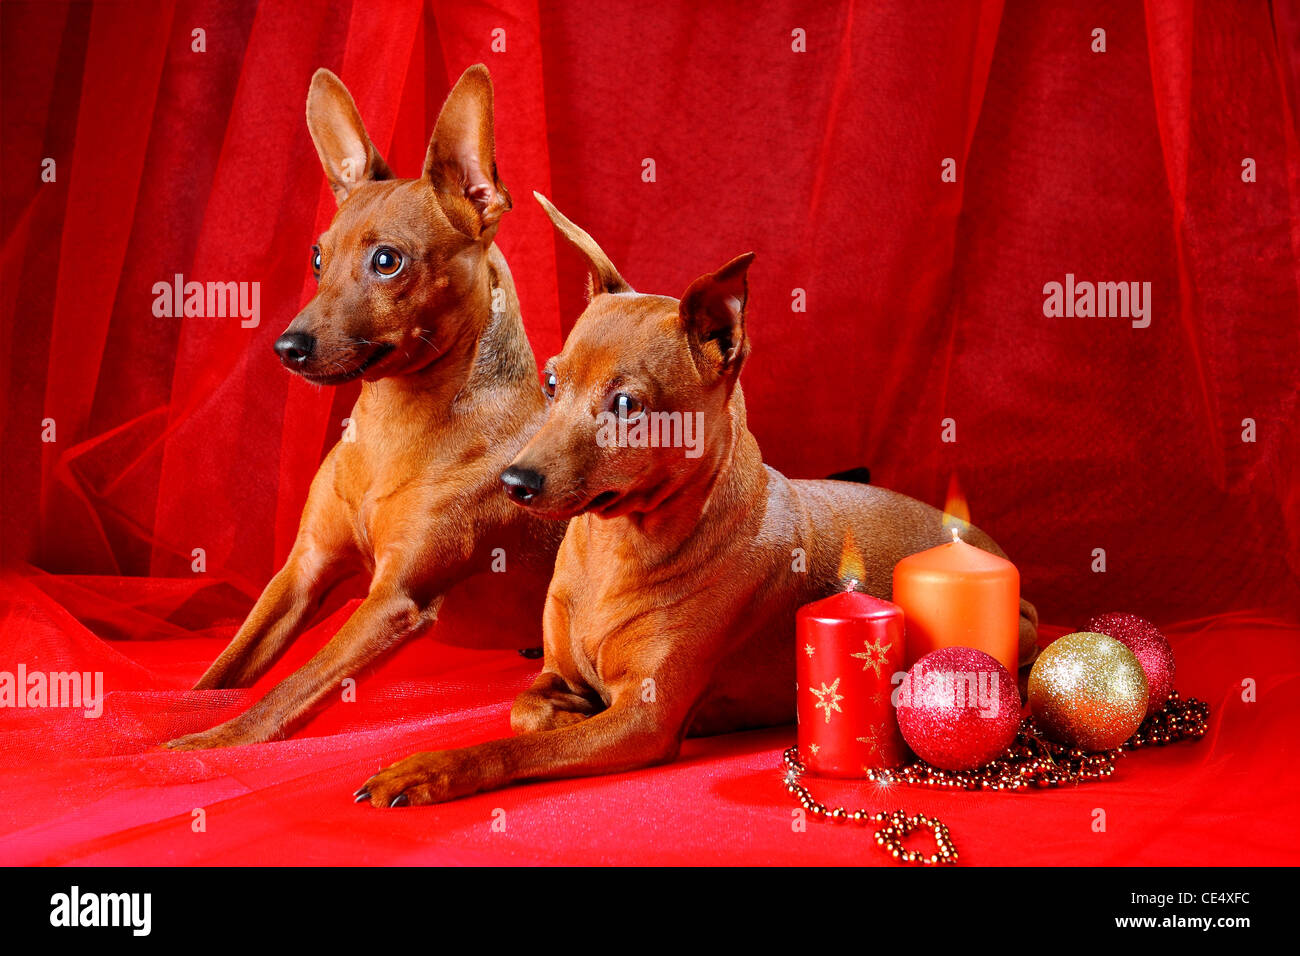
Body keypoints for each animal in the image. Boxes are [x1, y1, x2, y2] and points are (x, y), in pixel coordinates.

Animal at [162, 67, 559, 754]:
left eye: (387, 261)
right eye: (317, 258)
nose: (286, 348)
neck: (394, 428)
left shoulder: (393, 602)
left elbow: (286, 691)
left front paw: (204, 747)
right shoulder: (302, 572)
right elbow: (223, 672)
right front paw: (180, 715)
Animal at [353, 196, 1034, 806]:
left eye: (626, 405)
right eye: (550, 382)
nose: (514, 481)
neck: (615, 549)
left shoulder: (643, 724)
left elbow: (514, 746)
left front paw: (429, 770)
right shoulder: (558, 676)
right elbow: (527, 710)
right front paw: (563, 709)